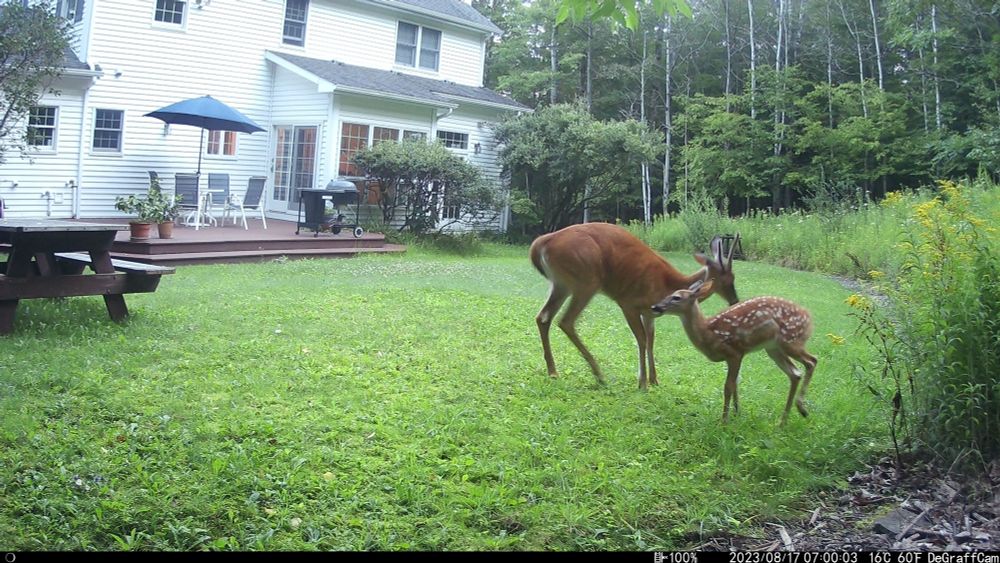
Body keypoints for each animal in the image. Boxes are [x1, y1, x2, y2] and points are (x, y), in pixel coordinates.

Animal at [529, 222, 740, 390]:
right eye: (729, 279)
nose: (735, 300)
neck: (666, 284)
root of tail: (541, 243)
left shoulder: (649, 313)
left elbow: (651, 340)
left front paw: (654, 380)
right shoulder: (628, 303)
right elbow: (641, 340)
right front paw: (643, 382)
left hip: (561, 283)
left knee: (543, 317)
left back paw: (553, 371)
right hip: (586, 281)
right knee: (566, 321)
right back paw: (599, 374)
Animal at [650, 273, 817, 426]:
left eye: (676, 297)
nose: (655, 307)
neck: (709, 333)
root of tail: (809, 318)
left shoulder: (734, 352)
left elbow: (728, 386)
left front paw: (724, 420)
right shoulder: (732, 356)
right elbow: (736, 382)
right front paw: (737, 413)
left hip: (790, 340)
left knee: (811, 361)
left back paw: (801, 409)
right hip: (773, 349)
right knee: (795, 373)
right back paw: (784, 421)